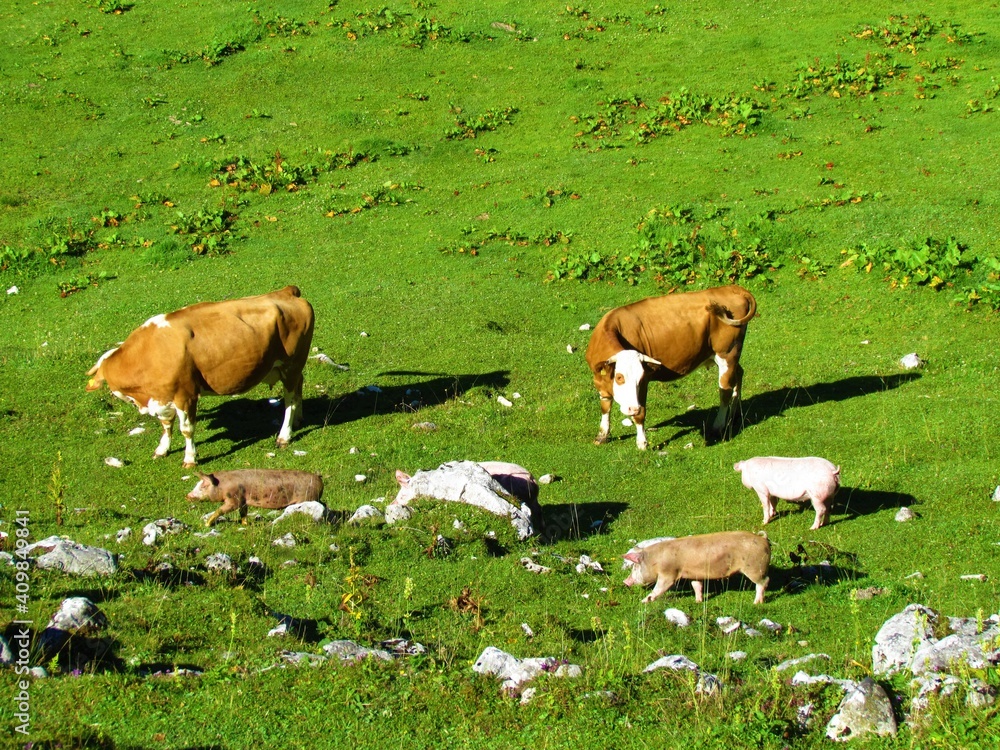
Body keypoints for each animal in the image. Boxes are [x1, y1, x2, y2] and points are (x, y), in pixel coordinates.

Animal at [86, 285, 315, 467]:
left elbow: (186, 429)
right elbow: (166, 424)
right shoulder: (163, 397)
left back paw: (284, 435)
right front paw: (162, 449)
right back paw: (298, 420)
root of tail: (286, 291)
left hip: (290, 365)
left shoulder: (185, 395)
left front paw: (190, 458)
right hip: (291, 368)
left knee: (289, 401)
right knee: (299, 387)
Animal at [186, 469, 324, 526]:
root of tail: (319, 481)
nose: (187, 496)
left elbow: (221, 510)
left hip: (307, 498)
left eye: (203, 486)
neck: (222, 485)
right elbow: (243, 513)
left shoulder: (234, 499)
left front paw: (206, 524)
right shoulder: (243, 500)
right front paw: (245, 524)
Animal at [584, 285, 756, 450]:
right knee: (739, 374)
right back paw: (734, 414)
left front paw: (642, 443)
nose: (633, 408)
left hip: (727, 353)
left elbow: (641, 415)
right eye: (619, 377)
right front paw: (602, 436)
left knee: (725, 390)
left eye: (640, 378)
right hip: (729, 357)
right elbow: (605, 407)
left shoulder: (644, 384)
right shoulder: (599, 381)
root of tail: (732, 288)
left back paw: (718, 426)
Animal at [622, 531, 771, 604]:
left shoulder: (668, 573)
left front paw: (643, 601)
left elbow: (659, 588)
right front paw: (698, 601)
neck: (655, 560)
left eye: (634, 567)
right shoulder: (693, 574)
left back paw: (757, 603)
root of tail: (763, 539)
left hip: (754, 568)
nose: (625, 581)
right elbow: (696, 586)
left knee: (764, 581)